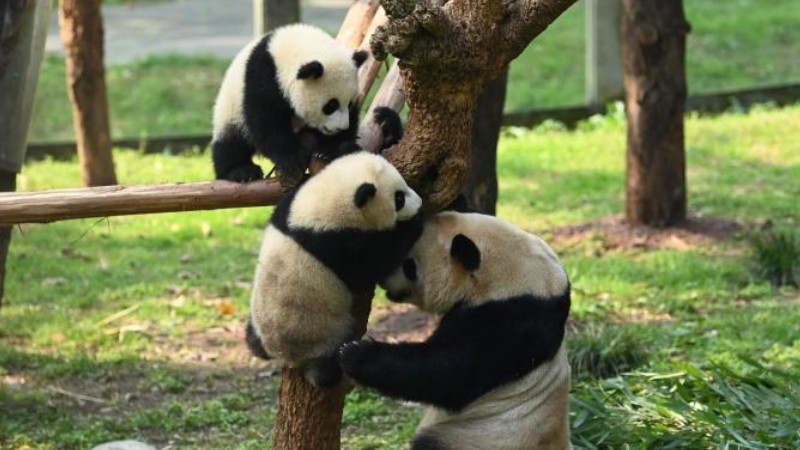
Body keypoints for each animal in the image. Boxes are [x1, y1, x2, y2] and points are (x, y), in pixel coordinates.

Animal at [211, 23, 402, 183]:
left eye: (348, 103)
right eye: (330, 106)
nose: (340, 127)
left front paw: (330, 149)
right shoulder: (263, 76)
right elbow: (265, 119)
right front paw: (291, 158)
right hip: (231, 108)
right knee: (231, 141)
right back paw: (241, 171)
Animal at [246, 152, 423, 387]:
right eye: (399, 198)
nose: (419, 203)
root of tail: (286, 357)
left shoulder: (287, 208)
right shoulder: (337, 244)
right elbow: (370, 266)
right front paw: (413, 224)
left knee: (251, 339)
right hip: (326, 336)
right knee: (328, 365)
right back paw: (327, 373)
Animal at [339, 211, 573, 450]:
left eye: (409, 265)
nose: (384, 280)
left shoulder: (511, 319)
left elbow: (451, 369)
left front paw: (355, 353)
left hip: (480, 436)